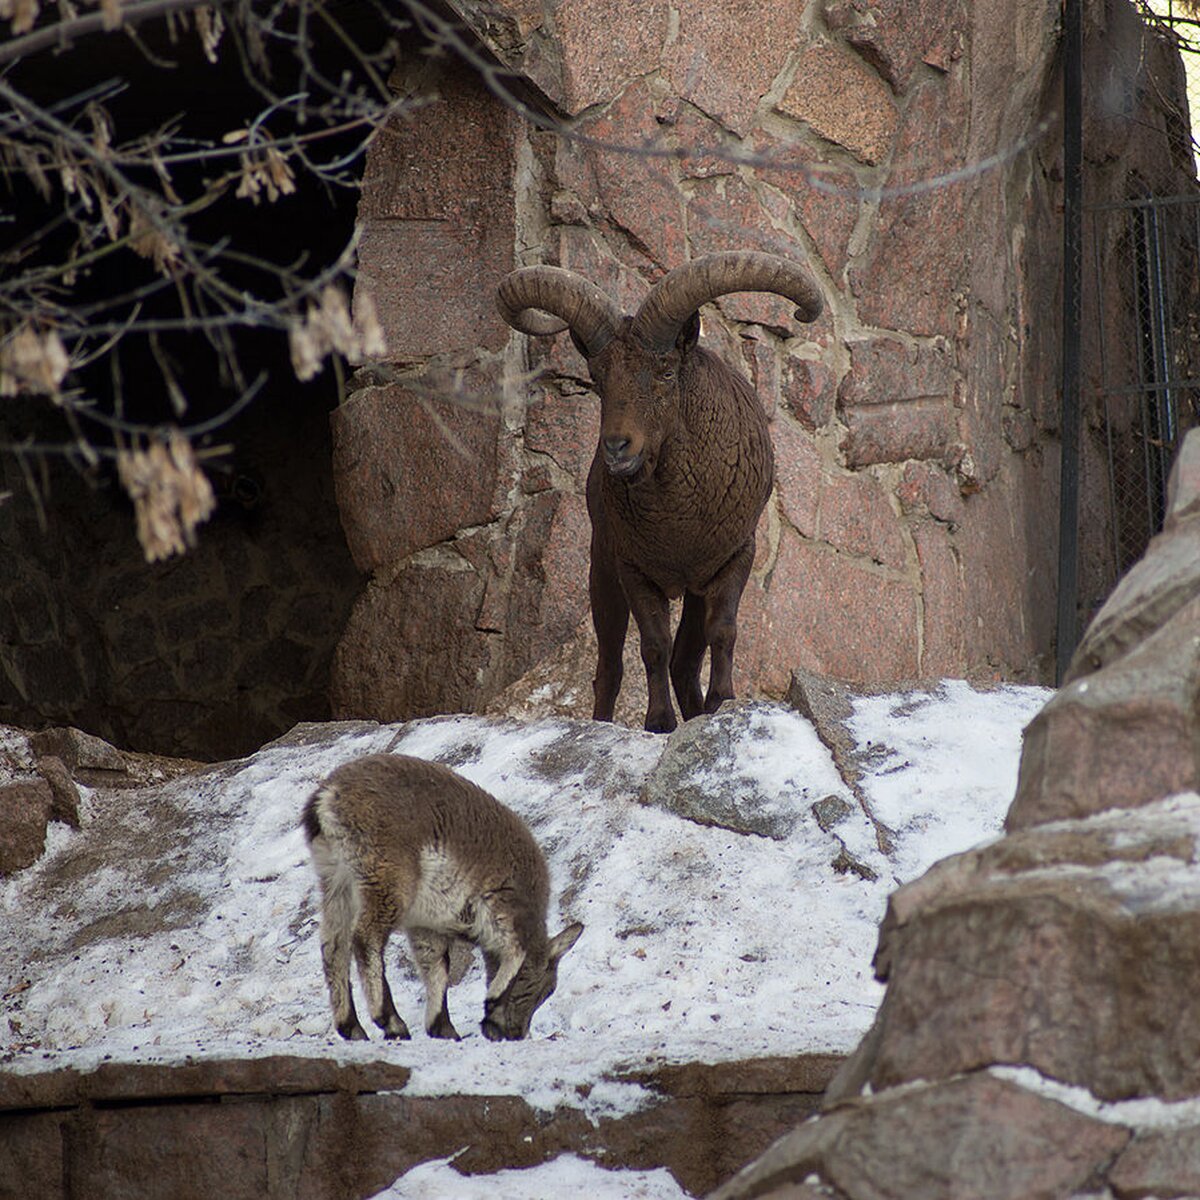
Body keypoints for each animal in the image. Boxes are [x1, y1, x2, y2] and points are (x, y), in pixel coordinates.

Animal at [300, 753, 580, 1046]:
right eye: (545, 989)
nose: (515, 1033)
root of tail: (326, 797)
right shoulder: (501, 904)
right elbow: (515, 948)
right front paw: (492, 1005)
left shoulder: (425, 925)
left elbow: (436, 965)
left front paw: (443, 1027)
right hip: (387, 878)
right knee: (366, 939)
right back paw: (391, 1021)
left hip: (335, 881)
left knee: (333, 946)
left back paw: (352, 1026)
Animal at [492, 253, 820, 729]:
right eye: (597, 377)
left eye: (666, 371)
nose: (617, 446)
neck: (680, 516)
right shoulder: (634, 568)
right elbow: (653, 645)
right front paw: (660, 722)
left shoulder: (733, 556)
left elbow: (723, 630)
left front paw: (723, 701)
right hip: (601, 568)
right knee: (611, 665)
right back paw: (603, 721)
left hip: (692, 588)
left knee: (685, 661)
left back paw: (700, 708)